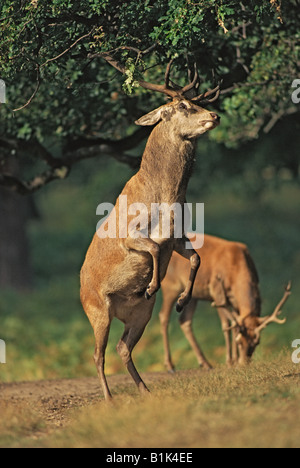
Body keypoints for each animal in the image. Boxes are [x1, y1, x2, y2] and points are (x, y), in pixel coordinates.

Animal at [79, 57, 220, 398]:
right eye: (182, 105)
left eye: (197, 101)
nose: (215, 115)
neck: (165, 199)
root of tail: (80, 290)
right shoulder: (130, 236)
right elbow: (153, 246)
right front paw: (152, 285)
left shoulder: (177, 237)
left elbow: (196, 258)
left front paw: (181, 301)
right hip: (97, 310)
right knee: (97, 354)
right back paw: (109, 398)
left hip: (140, 315)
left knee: (123, 348)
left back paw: (145, 389)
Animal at [159, 232, 290, 372]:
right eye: (239, 342)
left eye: (257, 342)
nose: (244, 363)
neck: (236, 267)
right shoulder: (217, 293)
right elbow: (226, 326)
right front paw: (230, 362)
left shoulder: (235, 303)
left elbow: (235, 325)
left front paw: (235, 361)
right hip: (171, 285)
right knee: (164, 316)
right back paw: (170, 365)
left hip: (194, 296)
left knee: (184, 320)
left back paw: (205, 363)